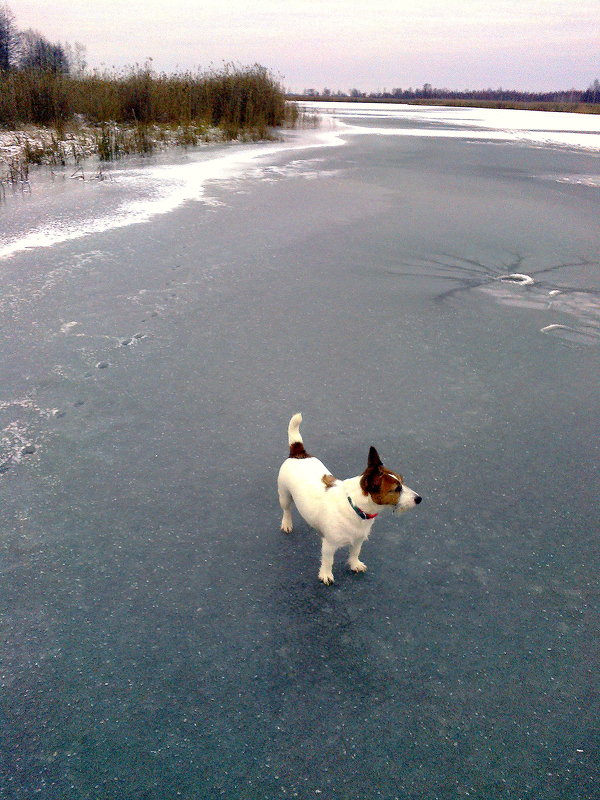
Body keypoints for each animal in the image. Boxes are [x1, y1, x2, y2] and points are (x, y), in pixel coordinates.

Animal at [278, 416, 422, 584]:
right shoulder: (329, 545)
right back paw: (287, 524)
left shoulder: (359, 539)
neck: (354, 506)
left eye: (403, 482)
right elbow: (328, 561)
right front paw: (326, 574)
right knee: (287, 510)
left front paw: (354, 564)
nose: (419, 499)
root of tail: (299, 453)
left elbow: (355, 552)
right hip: (284, 496)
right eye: (396, 489)